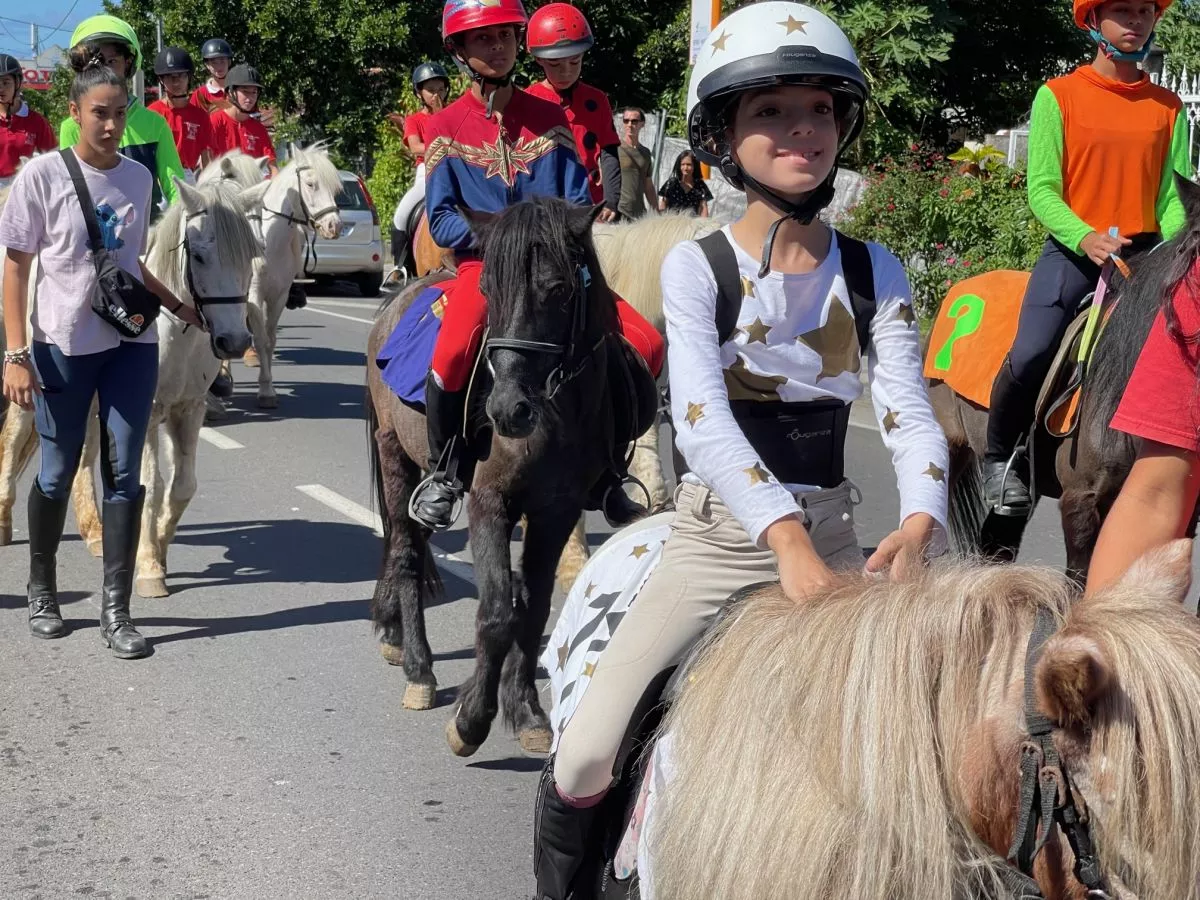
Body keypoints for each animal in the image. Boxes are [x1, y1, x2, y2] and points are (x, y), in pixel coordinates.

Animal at [238, 143, 342, 409]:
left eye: (336, 188)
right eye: (311, 184)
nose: (334, 226)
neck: (269, 241)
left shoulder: (279, 295)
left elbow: (270, 339)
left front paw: (268, 387)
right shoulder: (254, 296)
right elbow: (261, 338)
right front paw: (265, 389)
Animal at [366, 196, 634, 755]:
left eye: (558, 289)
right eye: (488, 290)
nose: (508, 410)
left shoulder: (556, 509)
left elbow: (531, 610)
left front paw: (527, 710)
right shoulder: (490, 502)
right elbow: (496, 612)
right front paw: (471, 720)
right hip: (394, 454)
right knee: (404, 551)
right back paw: (418, 668)